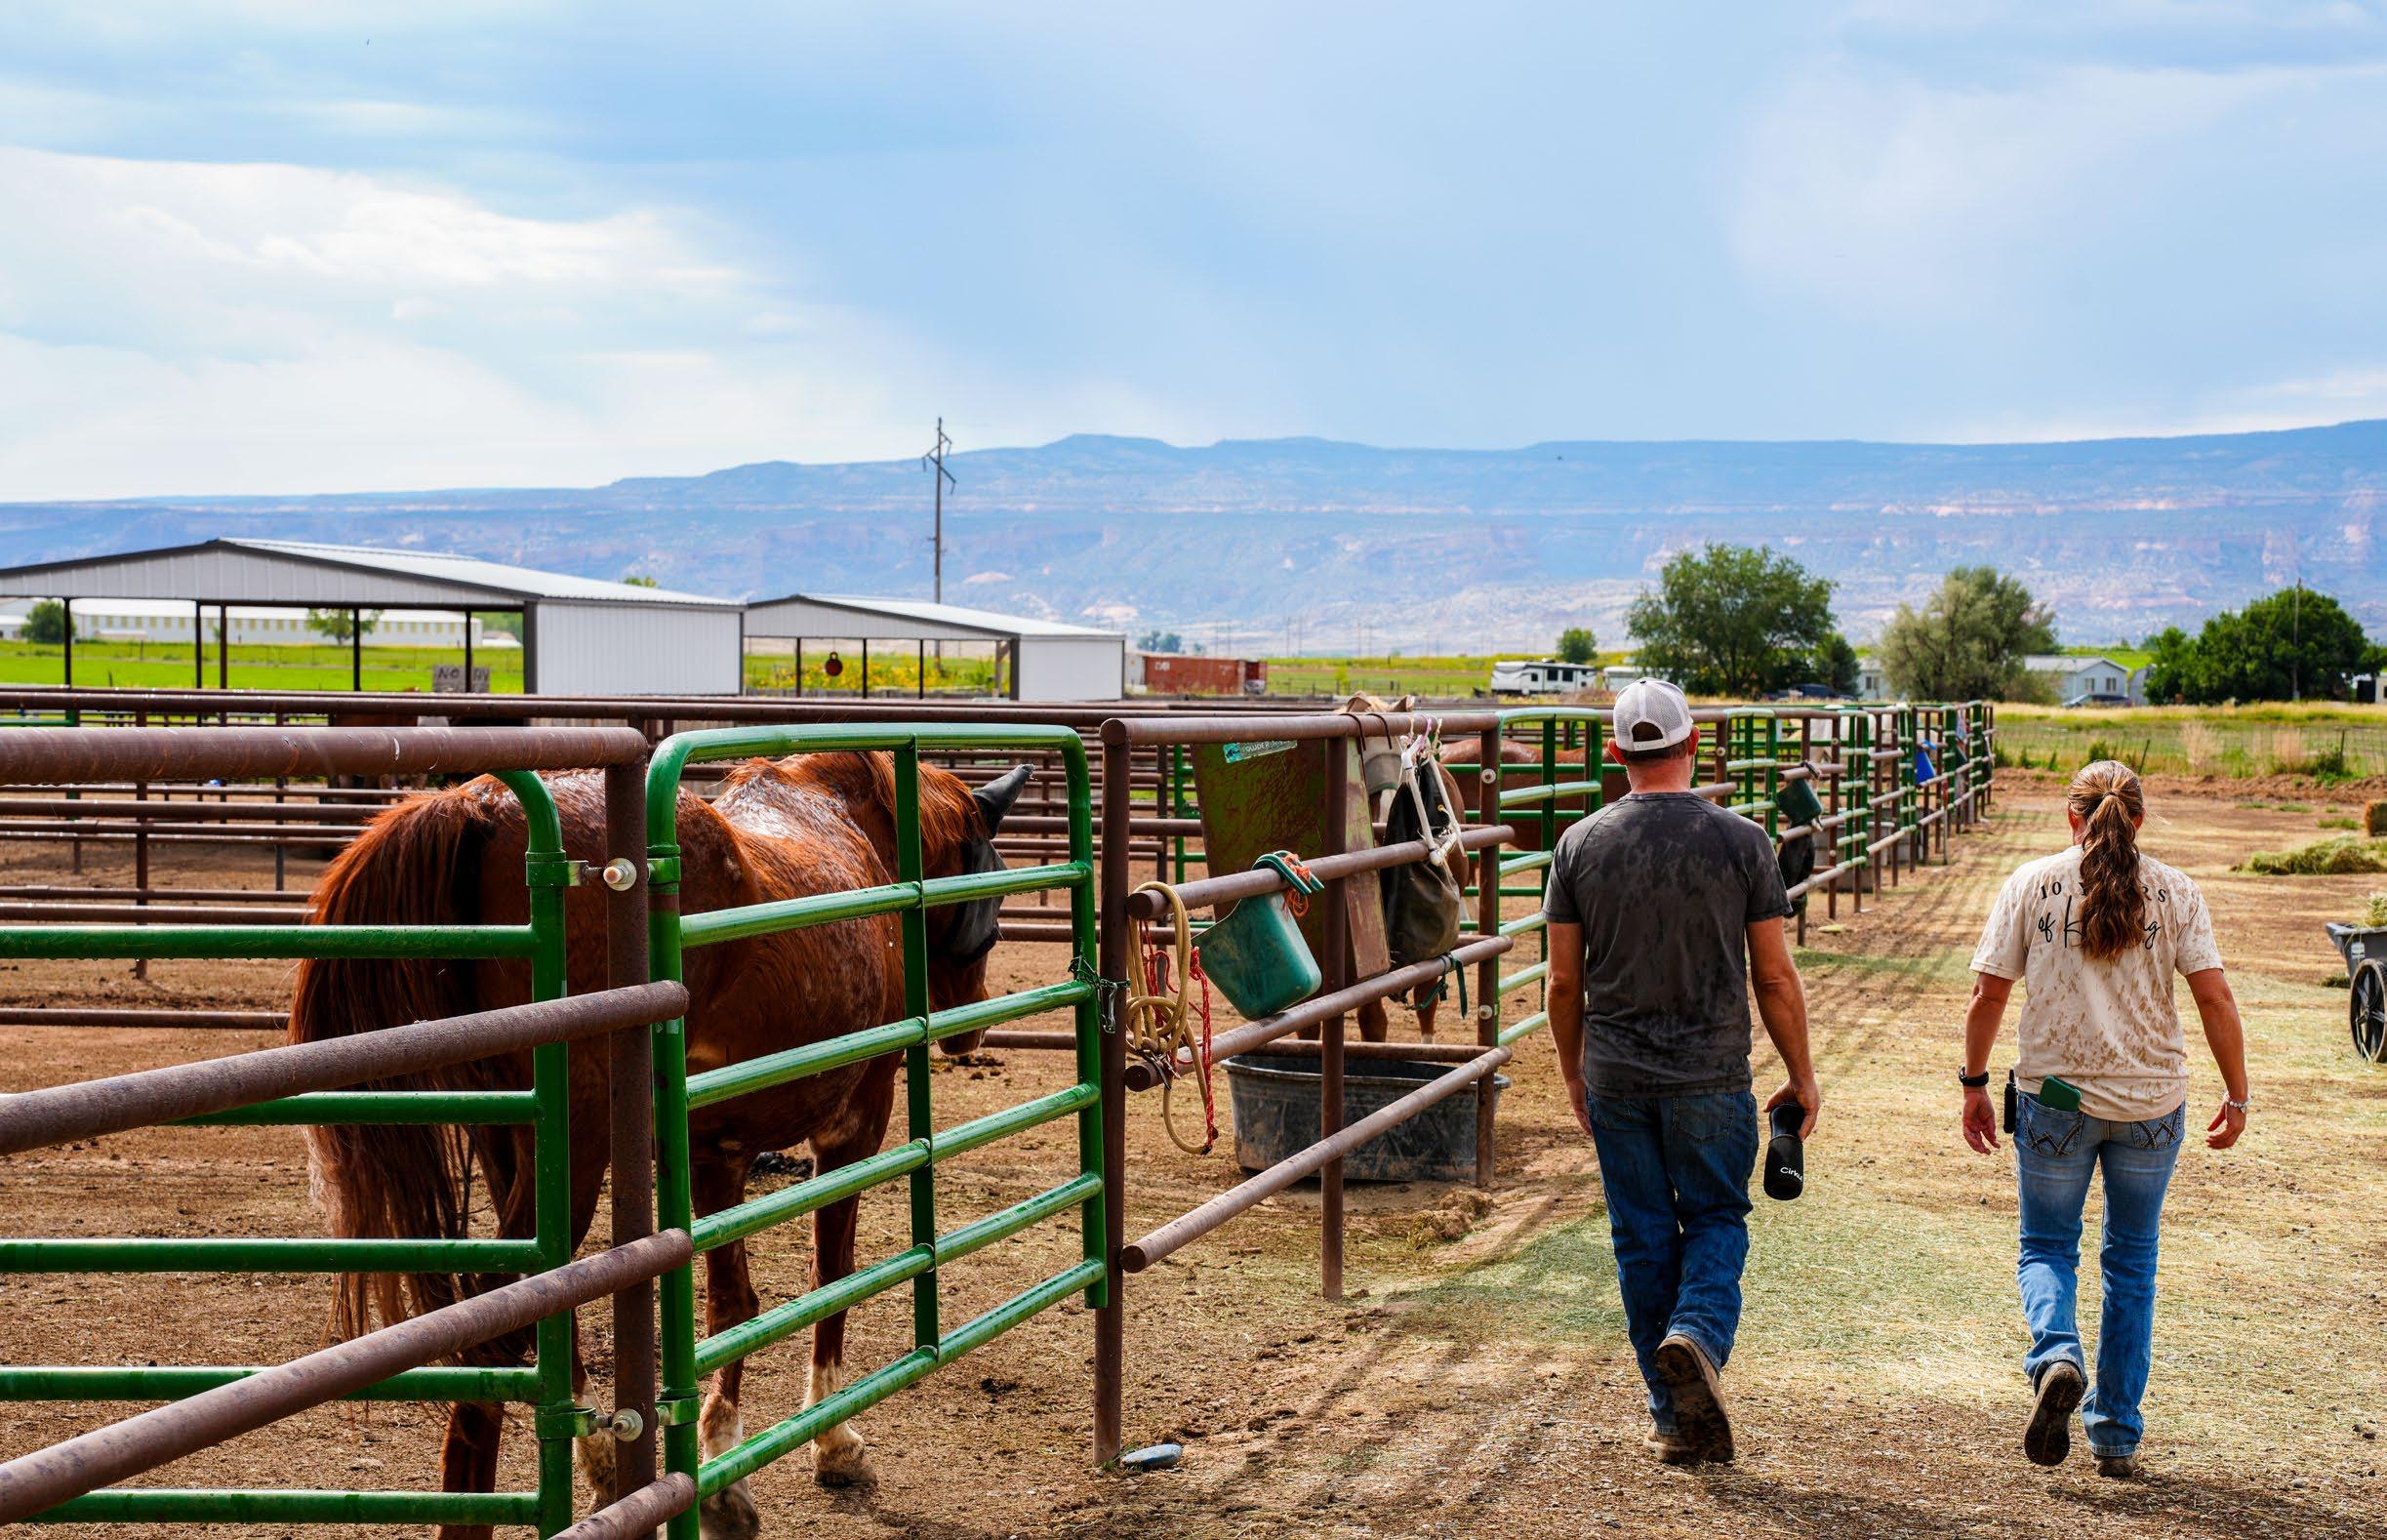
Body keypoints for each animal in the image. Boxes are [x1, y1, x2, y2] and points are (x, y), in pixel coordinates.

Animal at [291, 750, 1033, 1540]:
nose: (972, 1030)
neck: (860, 827)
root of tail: (479, 805)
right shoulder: (853, 1124)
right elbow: (825, 1278)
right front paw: (815, 1445)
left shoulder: (713, 1149)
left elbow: (732, 1302)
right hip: (576, 1152)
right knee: (497, 1326)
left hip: (512, 1145)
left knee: (548, 1304)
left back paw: (604, 1468)